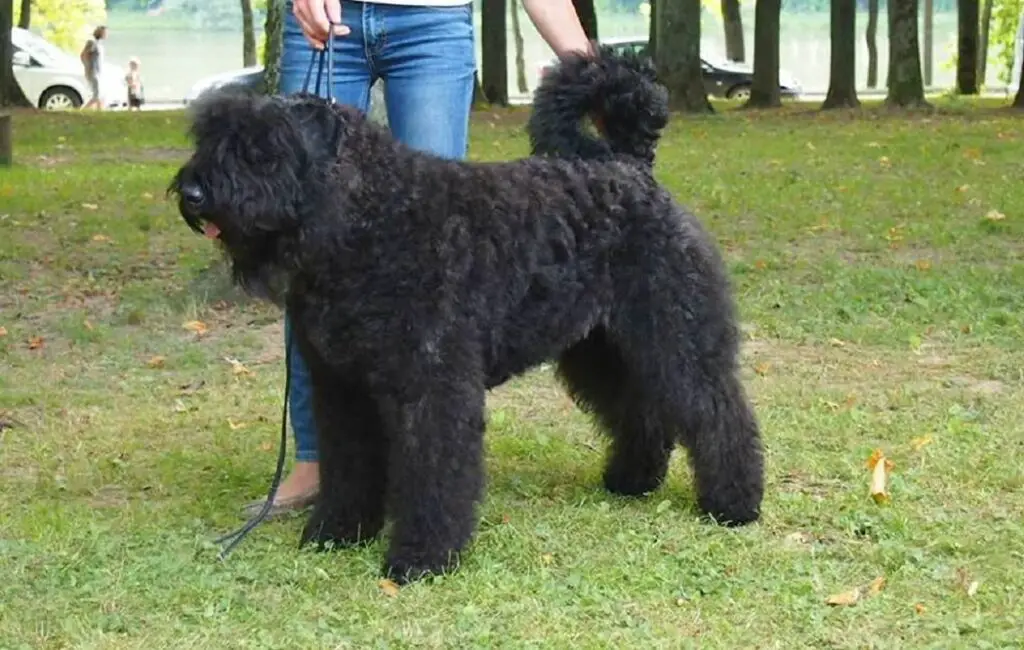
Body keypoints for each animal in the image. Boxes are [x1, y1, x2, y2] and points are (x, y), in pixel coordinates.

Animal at [169, 47, 761, 585]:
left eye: (263, 147)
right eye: (211, 136)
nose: (193, 192)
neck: (369, 219)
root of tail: (629, 167)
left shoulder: (432, 384)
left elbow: (435, 470)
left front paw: (420, 558)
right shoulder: (343, 388)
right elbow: (349, 464)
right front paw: (336, 532)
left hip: (675, 332)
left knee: (717, 409)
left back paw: (734, 503)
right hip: (600, 347)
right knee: (638, 409)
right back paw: (632, 478)